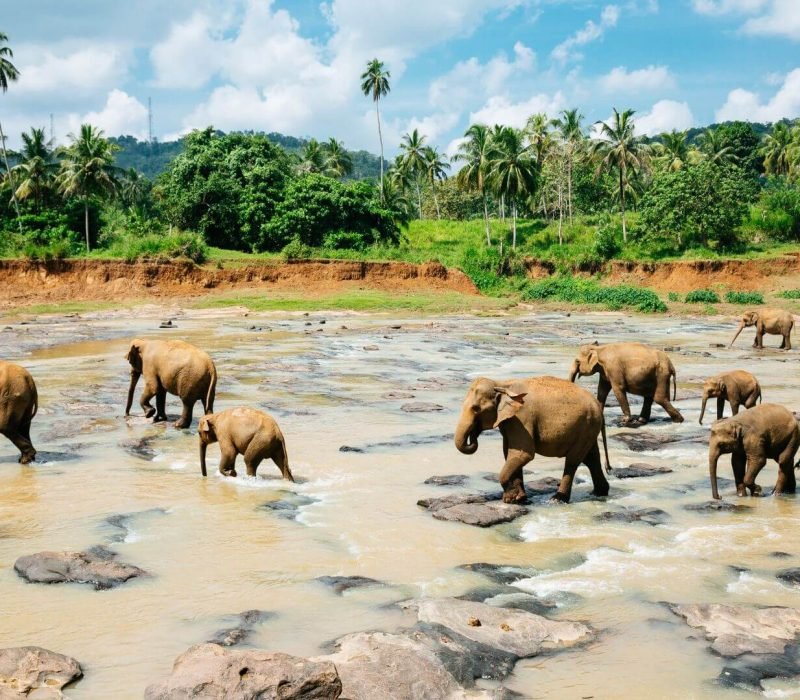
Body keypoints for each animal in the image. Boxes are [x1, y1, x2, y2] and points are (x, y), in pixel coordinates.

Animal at [454, 376, 611, 504]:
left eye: (476, 409)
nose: (473, 435)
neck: (502, 384)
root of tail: (598, 405)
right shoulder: (511, 421)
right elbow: (510, 453)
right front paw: (518, 499)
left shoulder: (522, 418)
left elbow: (523, 454)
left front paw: (511, 499)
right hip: (588, 427)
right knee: (591, 458)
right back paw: (599, 492)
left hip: (587, 426)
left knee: (573, 460)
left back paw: (557, 499)